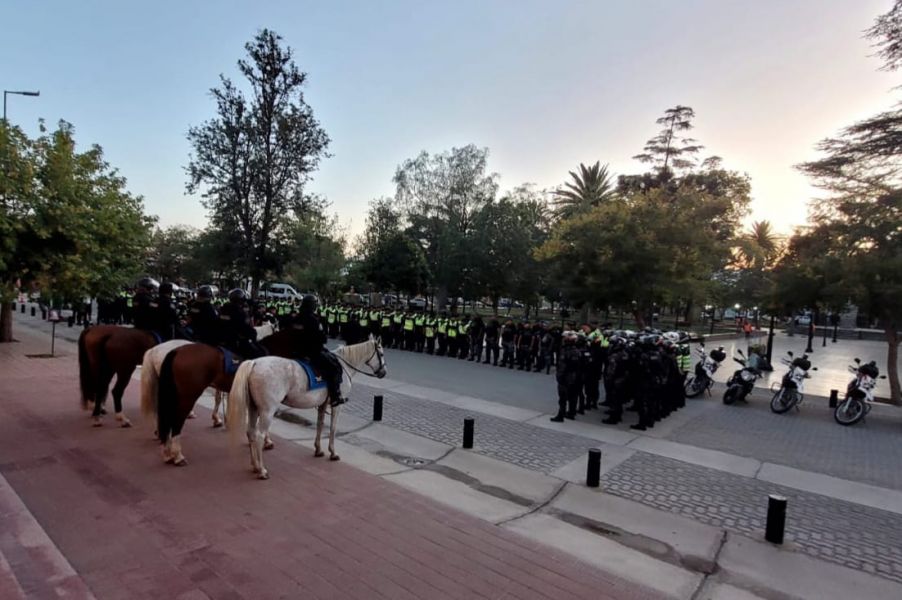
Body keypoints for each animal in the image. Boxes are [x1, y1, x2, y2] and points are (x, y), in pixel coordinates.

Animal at [147, 328, 306, 464]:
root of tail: (175, 351)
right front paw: (266, 441)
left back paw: (167, 452)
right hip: (187, 395)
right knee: (176, 419)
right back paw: (177, 455)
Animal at [228, 338, 386, 478]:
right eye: (382, 353)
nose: (383, 373)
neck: (343, 365)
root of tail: (254, 363)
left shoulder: (322, 405)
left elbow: (320, 425)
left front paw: (318, 449)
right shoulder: (337, 406)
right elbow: (333, 428)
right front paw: (333, 452)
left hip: (254, 408)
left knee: (251, 433)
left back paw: (255, 465)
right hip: (267, 411)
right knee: (259, 436)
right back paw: (262, 470)